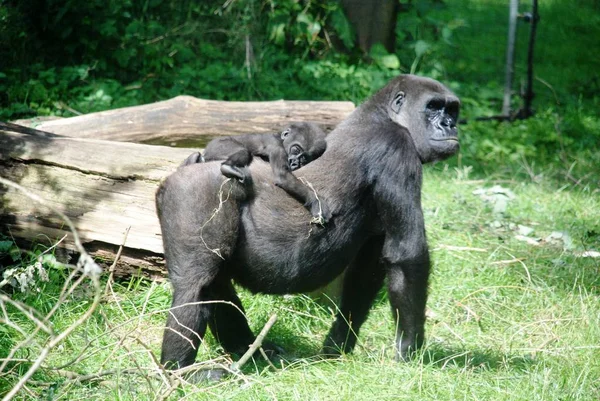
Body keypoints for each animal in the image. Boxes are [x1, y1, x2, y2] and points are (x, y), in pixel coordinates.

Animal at [182, 120, 332, 223]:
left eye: (304, 159)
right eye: (295, 150)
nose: (295, 163)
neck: (280, 138)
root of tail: (206, 151)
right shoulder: (275, 145)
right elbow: (283, 176)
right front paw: (316, 202)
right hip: (218, 145)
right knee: (243, 151)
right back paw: (227, 167)